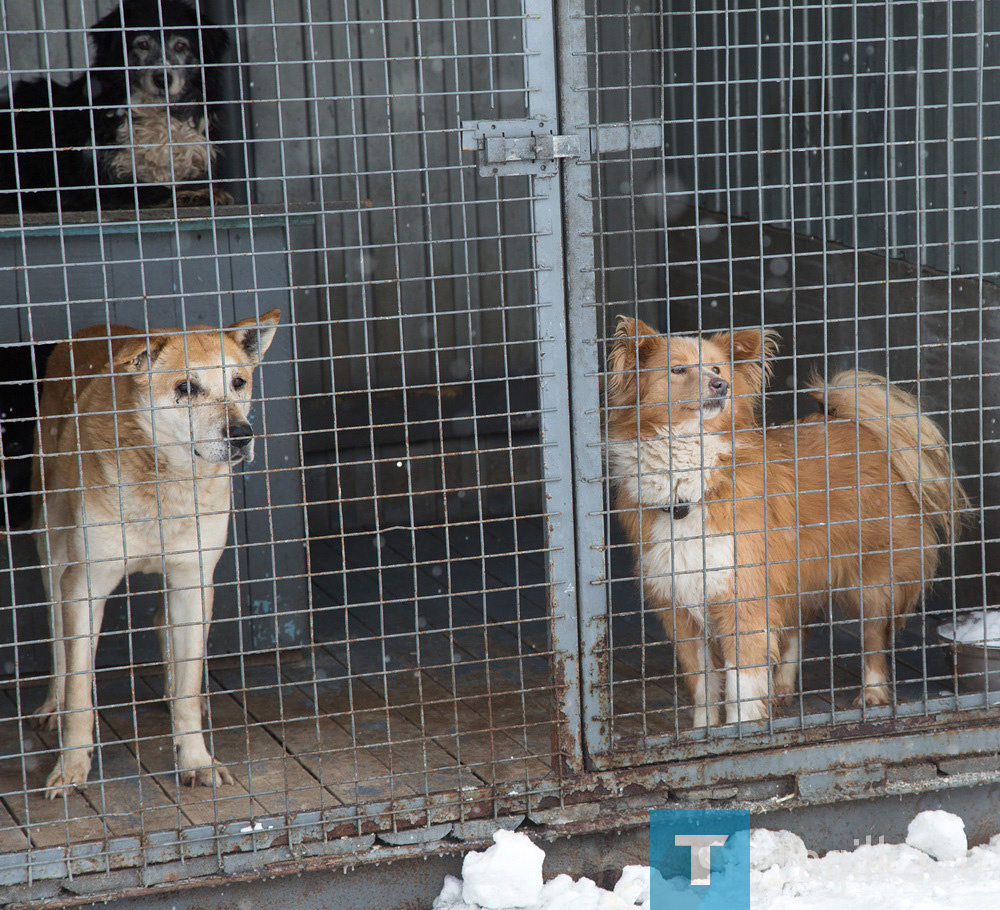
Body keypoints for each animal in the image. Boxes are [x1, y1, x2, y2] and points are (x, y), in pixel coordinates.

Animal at [0, 1, 230, 214]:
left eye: (181, 46)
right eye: (142, 44)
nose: (163, 79)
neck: (156, 110)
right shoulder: (99, 183)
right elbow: (154, 189)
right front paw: (195, 194)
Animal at [31, 312, 280, 800]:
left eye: (239, 382)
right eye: (185, 387)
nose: (242, 435)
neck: (167, 479)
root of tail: (89, 330)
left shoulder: (193, 576)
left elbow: (186, 685)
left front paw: (196, 759)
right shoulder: (84, 584)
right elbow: (80, 689)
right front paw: (71, 768)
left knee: (167, 628)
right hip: (50, 544)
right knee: (55, 634)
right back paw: (52, 702)